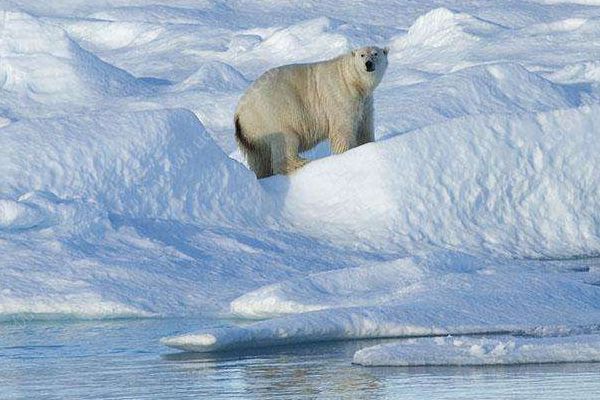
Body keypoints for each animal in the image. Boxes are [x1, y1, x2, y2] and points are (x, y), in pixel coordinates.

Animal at [234, 46, 390, 177]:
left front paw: (367, 145)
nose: (368, 63)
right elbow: (342, 129)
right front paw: (346, 154)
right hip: (271, 114)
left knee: (260, 159)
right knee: (285, 140)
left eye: (375, 53)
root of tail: (239, 113)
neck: (351, 80)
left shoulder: (365, 102)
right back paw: (301, 162)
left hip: (251, 135)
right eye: (362, 55)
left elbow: (364, 127)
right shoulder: (339, 96)